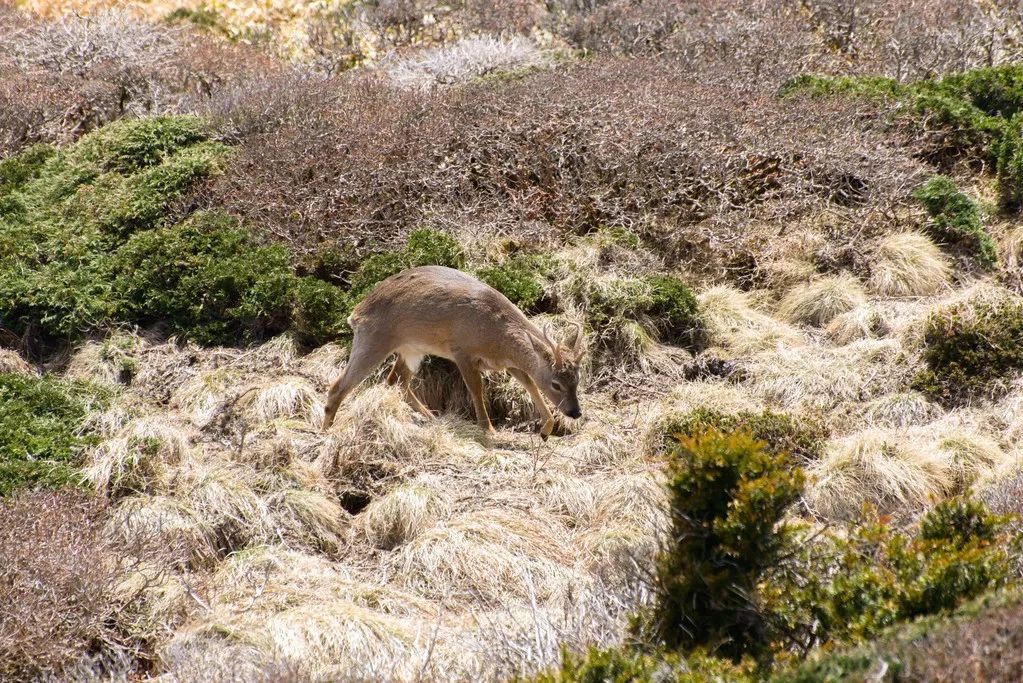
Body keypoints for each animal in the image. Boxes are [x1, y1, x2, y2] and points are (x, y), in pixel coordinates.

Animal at [323, 263, 589, 439]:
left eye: (577, 380)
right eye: (556, 384)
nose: (575, 412)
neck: (497, 334)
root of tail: (356, 313)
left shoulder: (507, 362)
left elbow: (530, 383)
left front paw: (546, 429)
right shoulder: (462, 350)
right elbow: (477, 389)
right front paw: (488, 429)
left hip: (412, 349)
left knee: (395, 380)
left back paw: (431, 418)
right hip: (373, 340)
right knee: (338, 386)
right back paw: (326, 429)